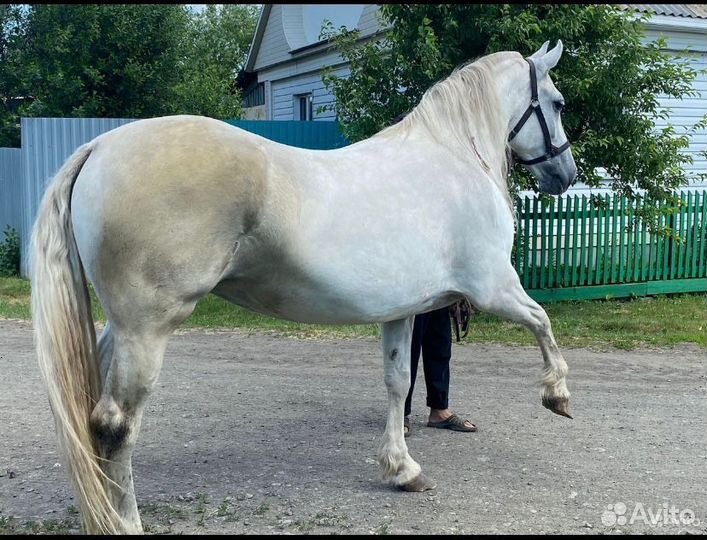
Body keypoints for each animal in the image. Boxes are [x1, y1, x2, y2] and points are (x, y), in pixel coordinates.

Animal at [30, 40, 577, 534]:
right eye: (557, 103)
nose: (565, 175)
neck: (453, 156)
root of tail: (100, 146)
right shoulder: (494, 286)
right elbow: (543, 323)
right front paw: (557, 394)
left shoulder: (402, 310)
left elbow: (398, 382)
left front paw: (402, 470)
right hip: (146, 331)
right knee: (115, 426)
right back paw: (123, 521)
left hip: (120, 329)